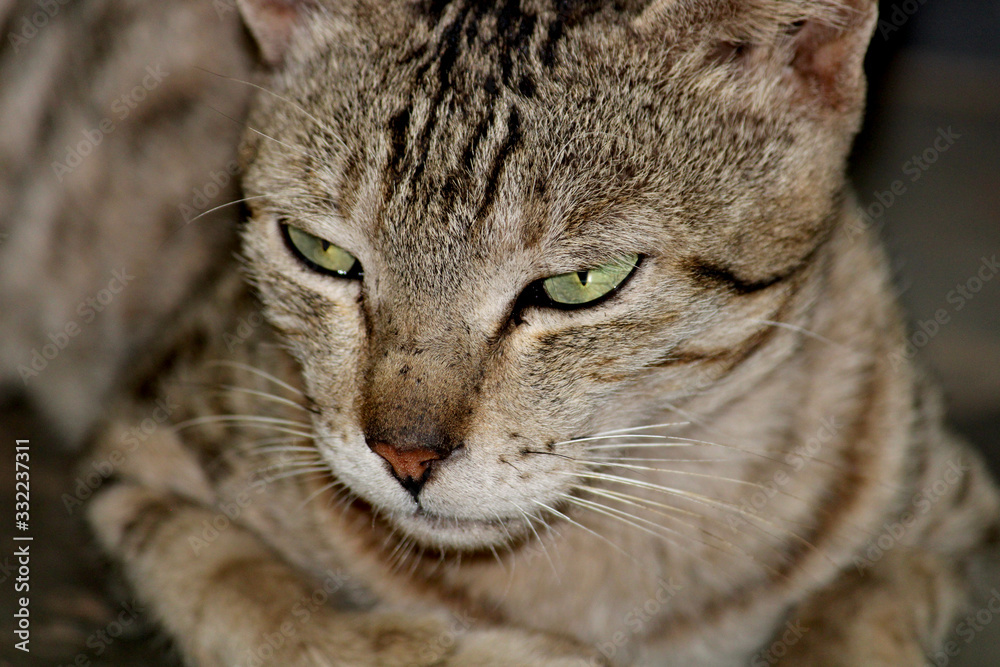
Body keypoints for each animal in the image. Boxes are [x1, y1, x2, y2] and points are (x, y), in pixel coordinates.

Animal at [84, 0, 1000, 664]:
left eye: (580, 283)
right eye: (322, 253)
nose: (404, 455)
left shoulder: (954, 516)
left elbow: (856, 609)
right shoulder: (133, 450)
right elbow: (265, 601)